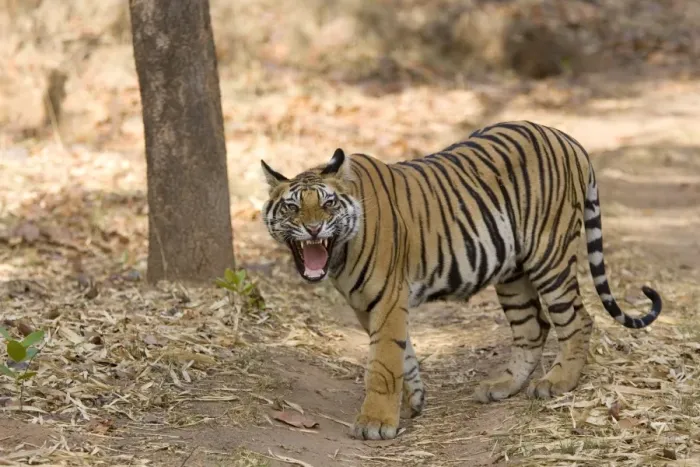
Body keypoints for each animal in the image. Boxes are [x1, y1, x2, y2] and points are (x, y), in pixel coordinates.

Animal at [260, 120, 662, 440]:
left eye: (328, 204)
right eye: (292, 207)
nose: (313, 229)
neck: (340, 253)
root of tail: (566, 137)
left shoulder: (387, 299)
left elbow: (383, 363)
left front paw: (375, 423)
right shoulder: (367, 305)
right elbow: (403, 353)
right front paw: (416, 399)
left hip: (550, 256)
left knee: (578, 320)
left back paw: (558, 382)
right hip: (512, 273)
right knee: (533, 328)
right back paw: (503, 386)